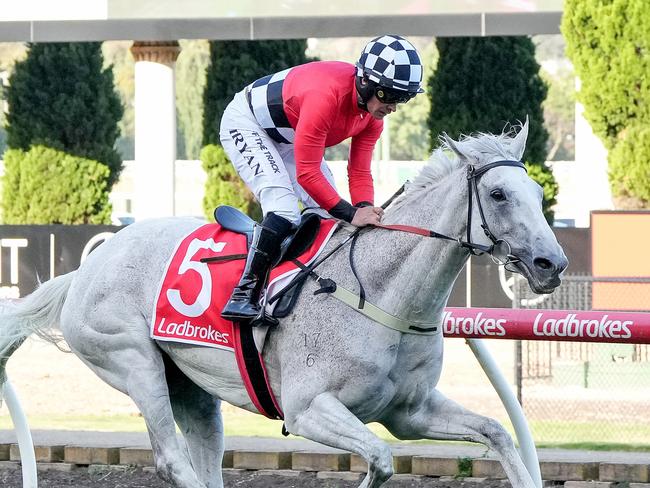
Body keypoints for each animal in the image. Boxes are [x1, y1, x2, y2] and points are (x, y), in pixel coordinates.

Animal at [0, 123, 564, 488]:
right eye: (498, 194)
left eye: (538, 193)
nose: (551, 263)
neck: (381, 294)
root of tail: (83, 271)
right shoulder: (309, 409)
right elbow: (381, 459)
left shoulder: (410, 411)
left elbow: (498, 432)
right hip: (133, 362)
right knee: (172, 460)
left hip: (191, 385)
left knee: (205, 458)